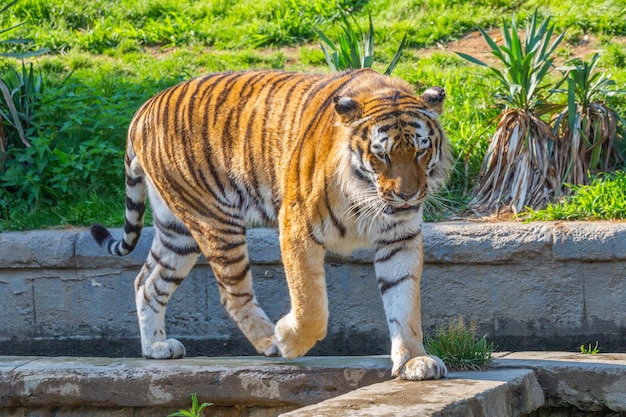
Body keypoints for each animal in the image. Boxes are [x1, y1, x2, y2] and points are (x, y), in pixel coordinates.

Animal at [91, 68, 448, 380]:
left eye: (420, 151)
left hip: (177, 231)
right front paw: (290, 341)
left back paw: (156, 347)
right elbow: (311, 305)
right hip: (215, 220)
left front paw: (414, 361)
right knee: (232, 296)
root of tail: (143, 109)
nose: (407, 195)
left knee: (147, 282)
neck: (366, 192)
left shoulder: (399, 238)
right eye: (381, 155)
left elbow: (404, 300)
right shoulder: (298, 226)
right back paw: (270, 343)